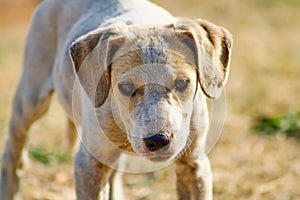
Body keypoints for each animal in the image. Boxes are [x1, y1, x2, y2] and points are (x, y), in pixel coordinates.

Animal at [0, 0, 233, 199]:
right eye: (126, 87)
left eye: (182, 83)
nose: (158, 140)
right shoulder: (89, 165)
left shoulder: (194, 165)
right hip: (30, 98)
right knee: (13, 153)